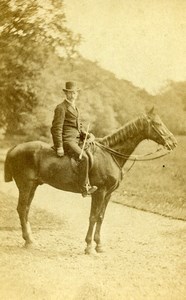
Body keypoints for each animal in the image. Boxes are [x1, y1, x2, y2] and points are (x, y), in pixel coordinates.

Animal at [3, 108, 177, 253]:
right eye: (157, 123)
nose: (173, 142)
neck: (110, 154)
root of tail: (15, 148)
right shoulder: (99, 192)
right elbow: (93, 217)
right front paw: (88, 246)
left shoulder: (108, 194)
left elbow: (100, 217)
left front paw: (99, 245)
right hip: (25, 186)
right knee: (22, 209)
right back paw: (28, 241)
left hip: (33, 186)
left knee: (25, 210)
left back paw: (30, 240)